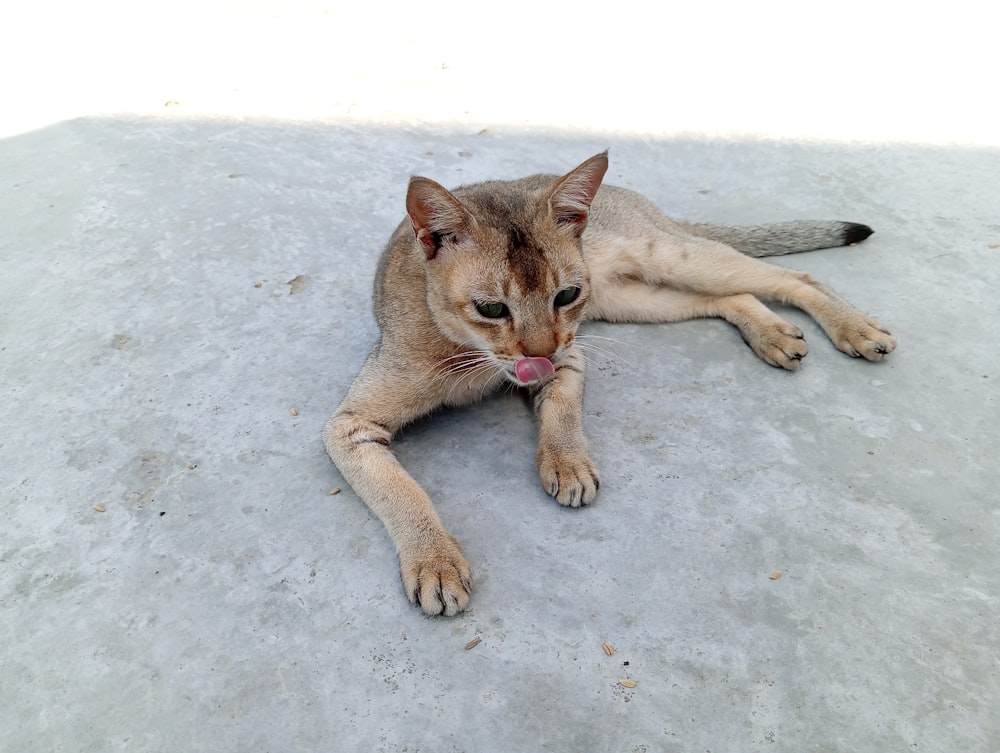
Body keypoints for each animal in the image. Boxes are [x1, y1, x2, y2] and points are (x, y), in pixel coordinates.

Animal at [322, 150, 900, 612]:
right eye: (490, 308)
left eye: (565, 296)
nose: (540, 353)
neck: (472, 353)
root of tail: (633, 199)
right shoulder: (348, 427)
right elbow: (403, 492)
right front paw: (435, 561)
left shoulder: (572, 354)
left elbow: (562, 413)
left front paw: (567, 463)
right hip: (634, 298)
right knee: (728, 297)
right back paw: (773, 333)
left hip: (664, 259)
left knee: (793, 277)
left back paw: (855, 328)